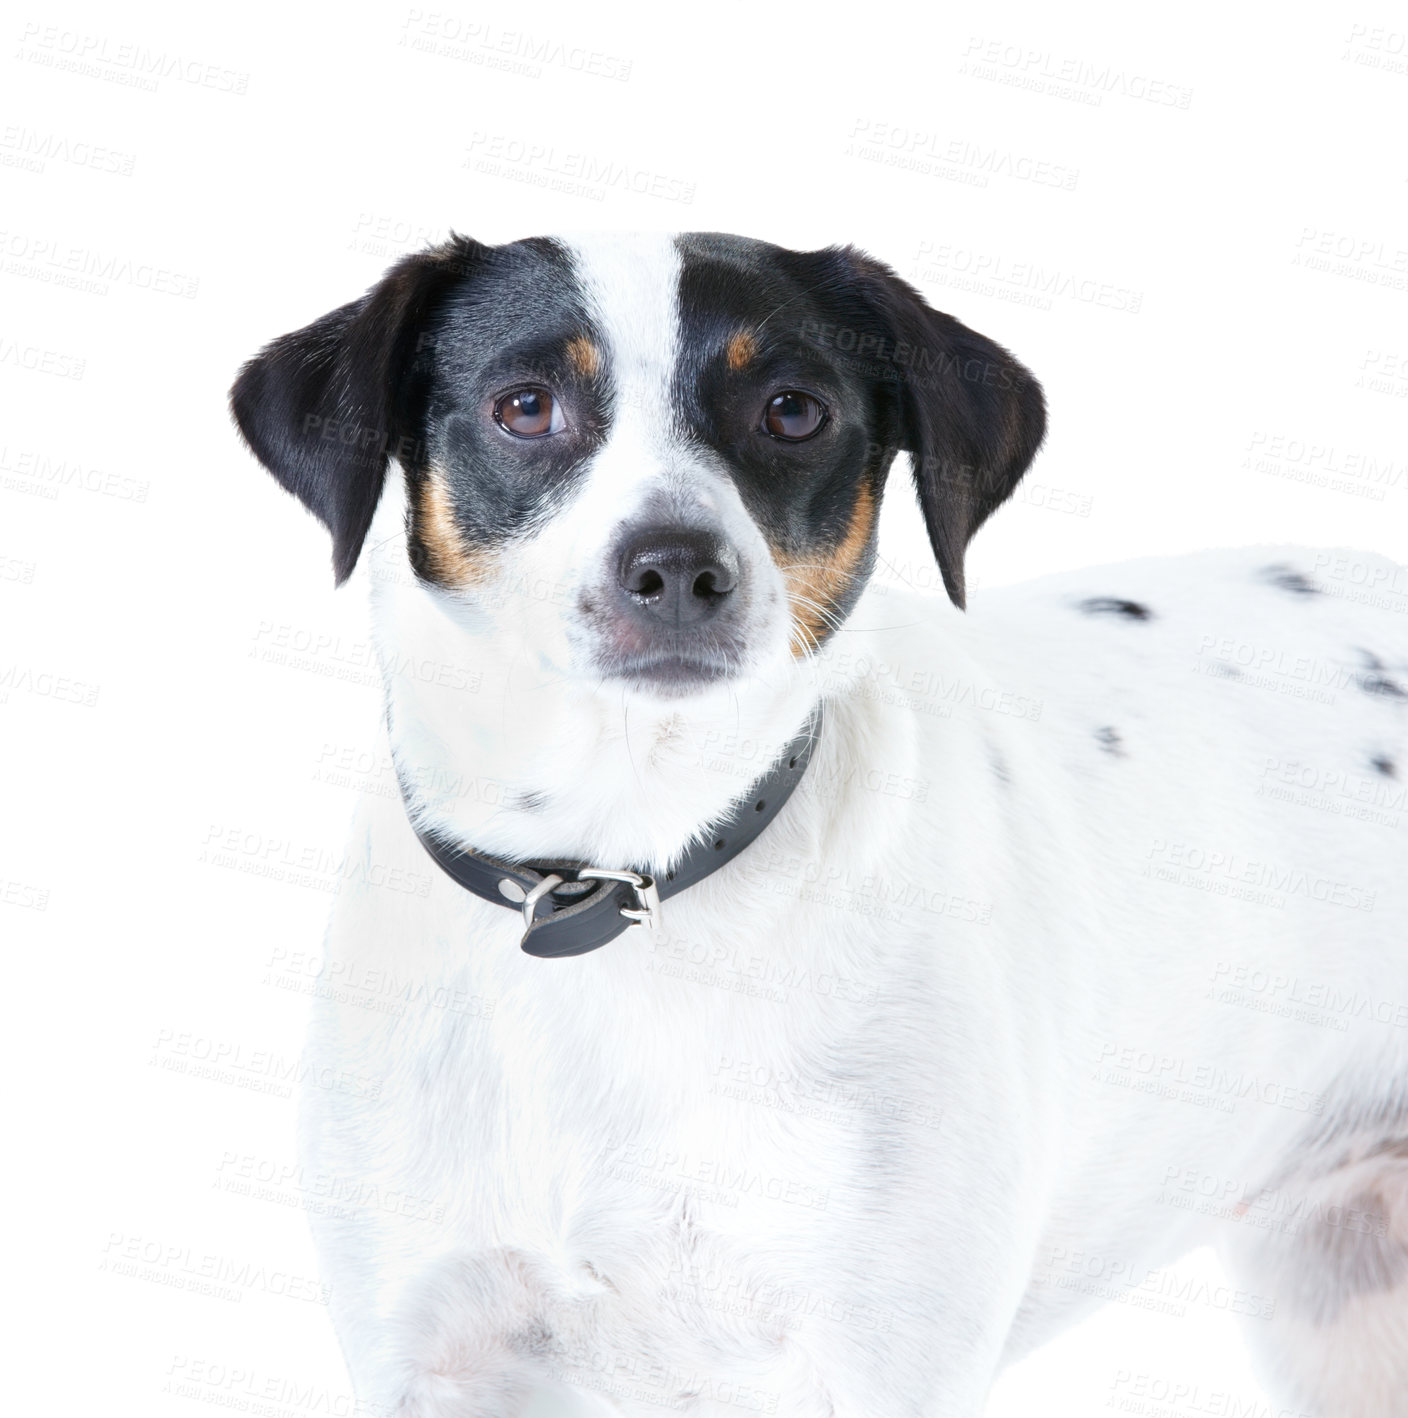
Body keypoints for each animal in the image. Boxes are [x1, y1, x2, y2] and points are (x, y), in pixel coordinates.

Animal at [231, 226, 1406, 1412]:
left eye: (793, 411)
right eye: (524, 406)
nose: (675, 566)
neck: (622, 873)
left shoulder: (882, 1362)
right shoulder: (429, 1352)